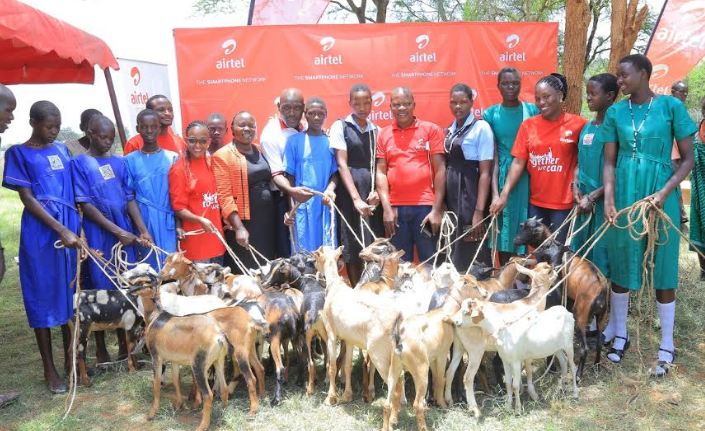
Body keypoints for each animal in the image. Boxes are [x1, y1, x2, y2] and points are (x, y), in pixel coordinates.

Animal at [512, 218, 612, 376]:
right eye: (522, 226)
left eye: (527, 229)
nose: (515, 240)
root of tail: (601, 287)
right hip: (601, 317)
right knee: (599, 343)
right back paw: (596, 366)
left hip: (581, 315)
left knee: (585, 348)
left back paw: (578, 375)